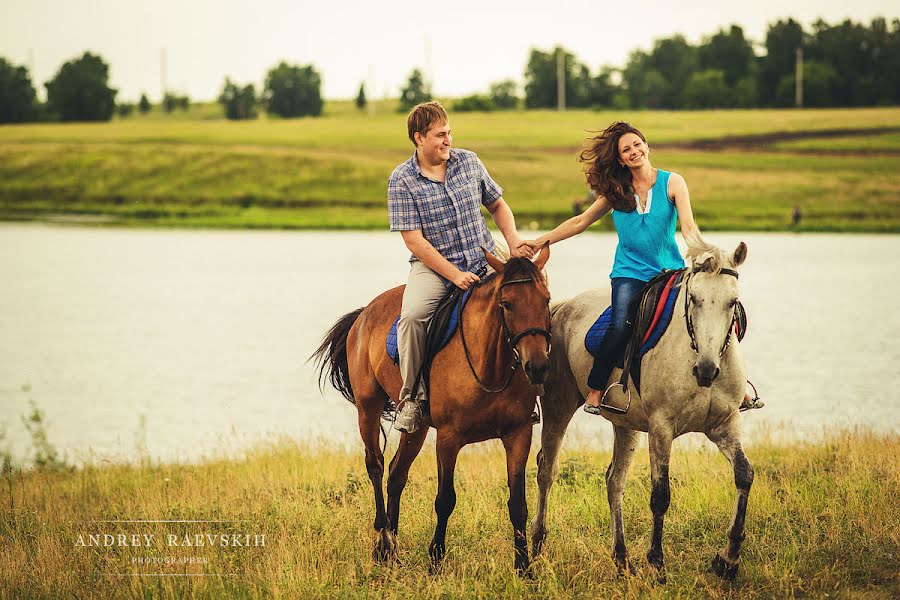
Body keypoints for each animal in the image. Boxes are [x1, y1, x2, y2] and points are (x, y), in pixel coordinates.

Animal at [312, 246, 552, 576]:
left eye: (546, 300)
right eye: (507, 304)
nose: (538, 367)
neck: (490, 366)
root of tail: (363, 314)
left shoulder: (518, 434)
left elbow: (518, 504)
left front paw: (524, 569)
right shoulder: (449, 439)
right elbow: (445, 499)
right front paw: (436, 560)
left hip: (418, 427)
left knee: (396, 474)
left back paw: (392, 548)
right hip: (367, 408)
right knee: (375, 466)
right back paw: (381, 543)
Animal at [536, 236, 752, 580]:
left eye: (733, 302)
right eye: (694, 299)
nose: (706, 370)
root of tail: (562, 308)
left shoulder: (725, 425)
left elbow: (744, 474)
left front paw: (728, 559)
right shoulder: (661, 429)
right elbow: (660, 495)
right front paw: (657, 562)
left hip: (625, 425)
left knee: (614, 481)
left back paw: (622, 559)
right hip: (559, 404)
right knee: (547, 469)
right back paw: (536, 544)